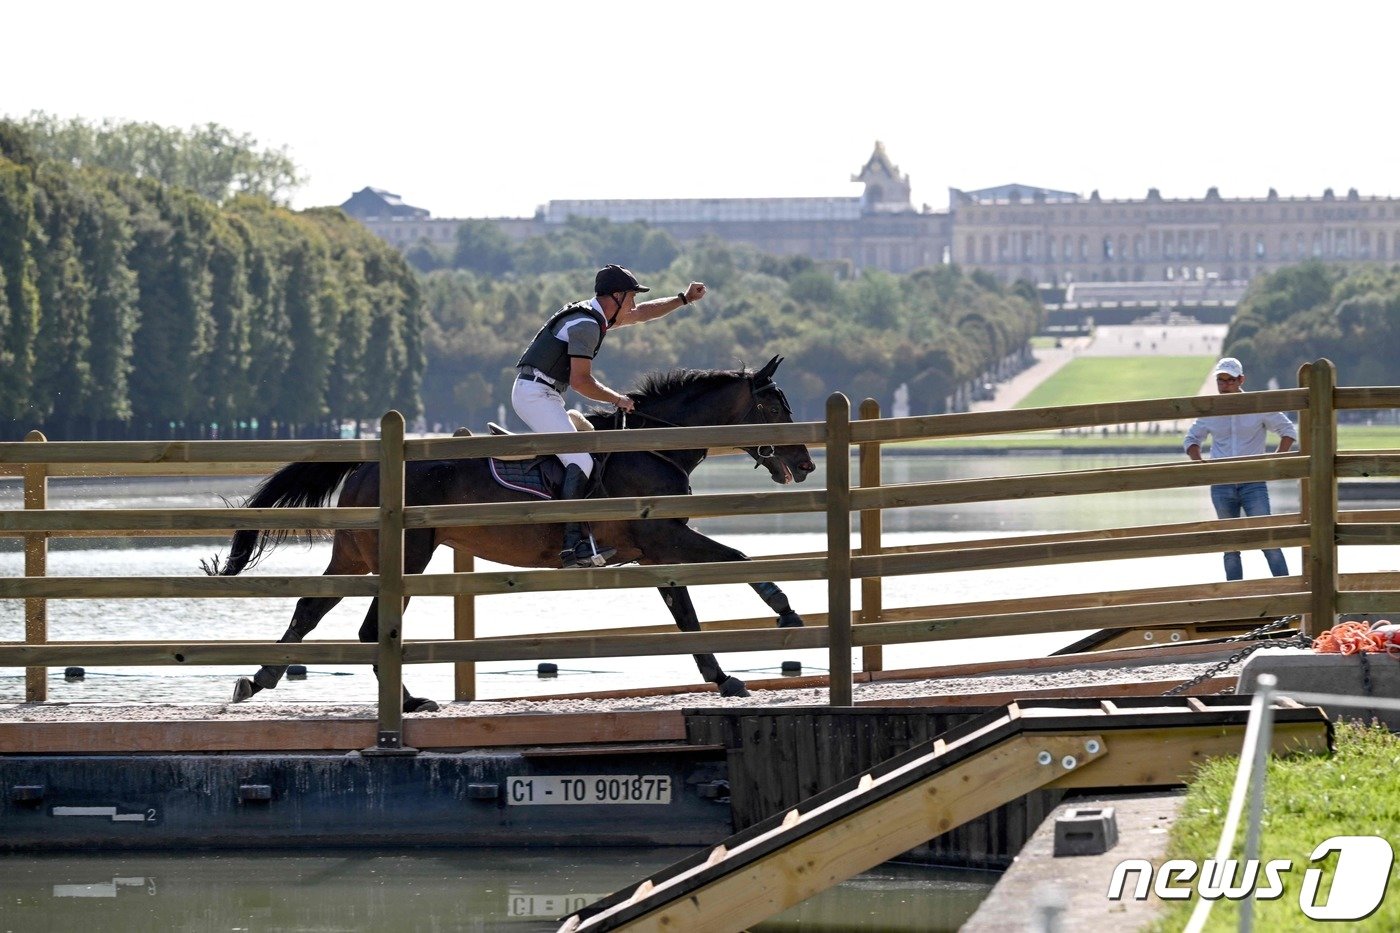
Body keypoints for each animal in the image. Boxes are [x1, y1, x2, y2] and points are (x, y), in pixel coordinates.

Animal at [208, 353, 817, 708]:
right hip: (406, 555)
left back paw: (258, 679)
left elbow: (685, 613)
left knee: (313, 607)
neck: (651, 445)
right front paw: (786, 610)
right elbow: (737, 560)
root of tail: (367, 463)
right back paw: (405, 704)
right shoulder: (666, 538)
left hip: (359, 555)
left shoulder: (655, 551)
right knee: (369, 628)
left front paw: (723, 677)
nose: (807, 463)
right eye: (774, 408)